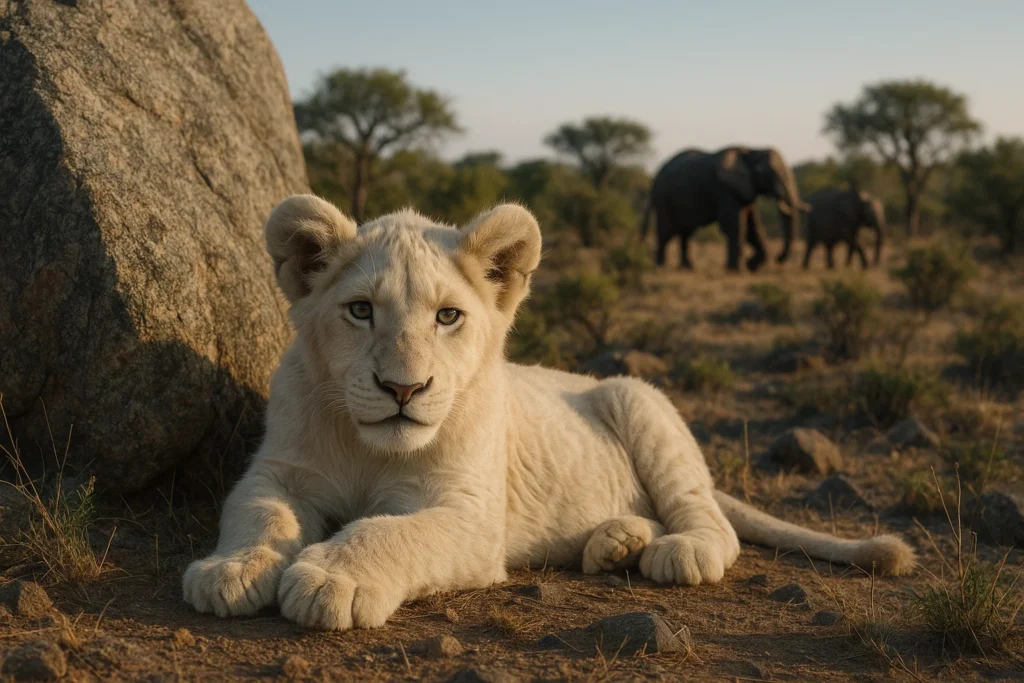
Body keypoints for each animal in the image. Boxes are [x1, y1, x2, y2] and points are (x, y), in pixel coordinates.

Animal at [182, 195, 915, 630]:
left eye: (448, 316)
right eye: (360, 310)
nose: (402, 389)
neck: (370, 446)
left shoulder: (470, 513)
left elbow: (388, 532)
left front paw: (331, 577)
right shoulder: (278, 470)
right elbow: (258, 512)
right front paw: (232, 570)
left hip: (636, 399)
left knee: (712, 521)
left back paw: (675, 552)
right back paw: (616, 541)